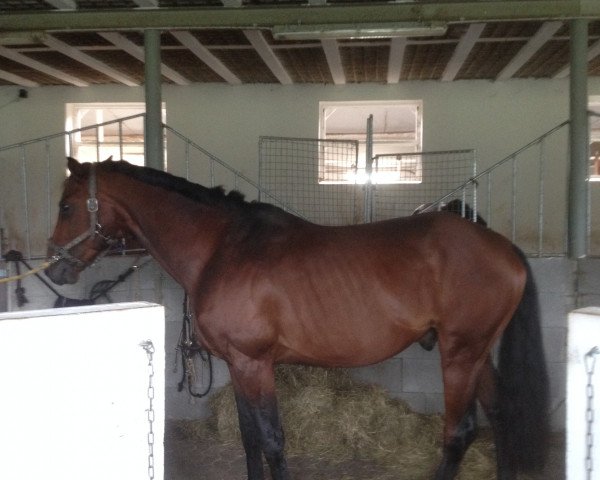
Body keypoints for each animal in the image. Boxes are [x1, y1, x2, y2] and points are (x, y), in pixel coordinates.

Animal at [45, 158, 548, 480]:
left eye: (67, 206)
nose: (53, 270)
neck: (223, 248)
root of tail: (501, 246)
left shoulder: (254, 363)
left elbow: (271, 440)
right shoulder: (238, 365)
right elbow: (250, 439)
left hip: (460, 354)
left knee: (459, 435)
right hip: (476, 354)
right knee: (500, 415)